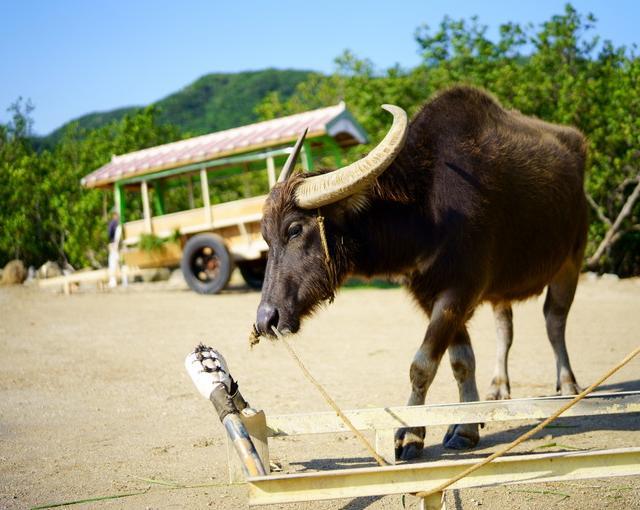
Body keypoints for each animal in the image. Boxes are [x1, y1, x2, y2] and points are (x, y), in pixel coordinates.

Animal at [252, 85, 588, 460]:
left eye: (294, 229)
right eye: (265, 237)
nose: (266, 319)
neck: (427, 209)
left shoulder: (457, 293)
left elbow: (422, 364)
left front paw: (412, 433)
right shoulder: (432, 297)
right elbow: (461, 360)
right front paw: (465, 425)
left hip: (571, 261)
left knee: (554, 319)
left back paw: (568, 384)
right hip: (503, 288)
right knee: (506, 327)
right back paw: (498, 388)